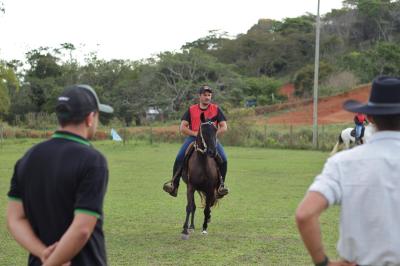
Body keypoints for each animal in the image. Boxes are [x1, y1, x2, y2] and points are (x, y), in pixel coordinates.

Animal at [180, 112, 222, 241]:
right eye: (203, 131)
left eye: (215, 129)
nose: (212, 152)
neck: (202, 162)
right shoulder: (190, 187)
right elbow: (189, 207)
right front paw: (185, 230)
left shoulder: (209, 189)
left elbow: (207, 208)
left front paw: (204, 228)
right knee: (193, 206)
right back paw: (191, 226)